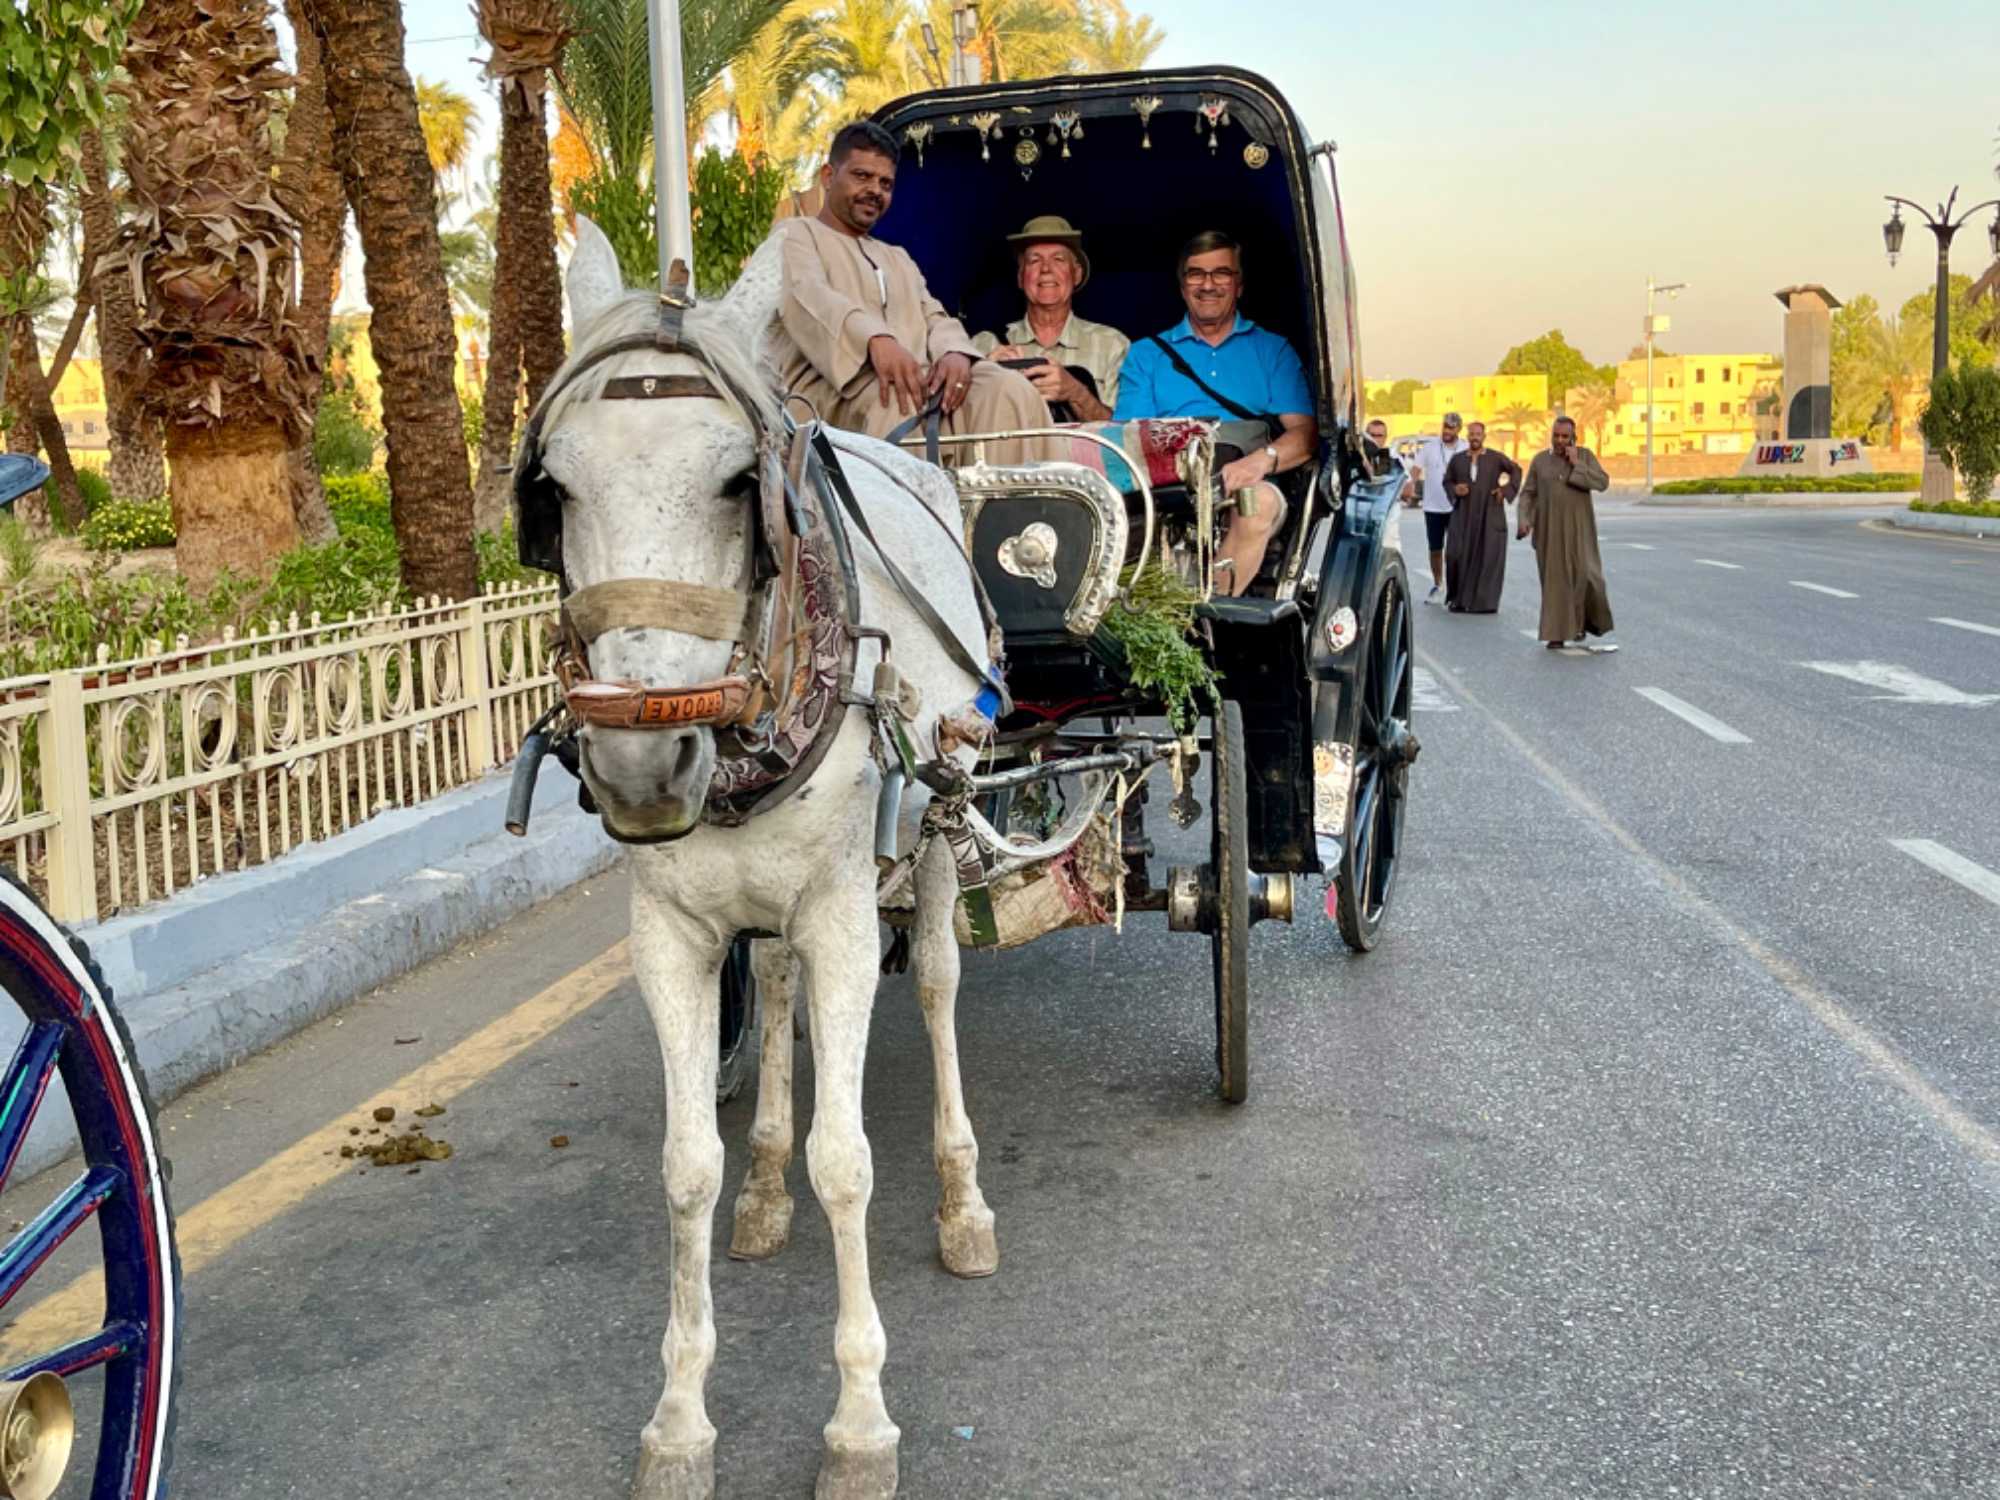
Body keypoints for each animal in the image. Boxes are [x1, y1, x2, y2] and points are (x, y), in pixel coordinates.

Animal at [532, 221, 1000, 1500]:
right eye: (553, 489)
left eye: (741, 482)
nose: (641, 766)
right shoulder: (671, 935)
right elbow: (683, 1166)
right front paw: (679, 1420)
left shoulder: (844, 915)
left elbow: (850, 1164)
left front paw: (859, 1424)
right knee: (781, 988)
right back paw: (765, 1185)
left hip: (935, 820)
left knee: (937, 984)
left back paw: (962, 1199)